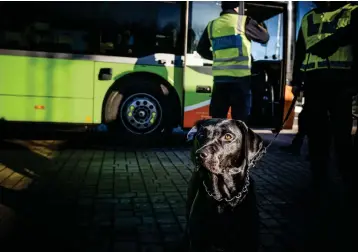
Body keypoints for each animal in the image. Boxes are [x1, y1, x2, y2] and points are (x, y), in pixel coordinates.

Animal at [185, 118, 262, 252]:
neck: (225, 198)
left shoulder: (249, 242)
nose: (199, 154)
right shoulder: (198, 241)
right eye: (201, 135)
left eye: (228, 136)